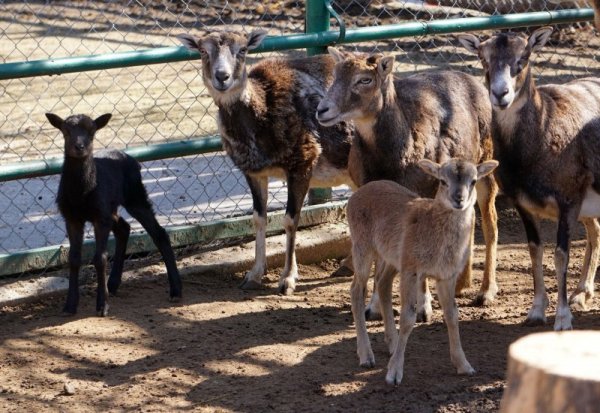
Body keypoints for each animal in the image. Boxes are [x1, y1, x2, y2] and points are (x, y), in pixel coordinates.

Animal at [47, 112, 180, 316]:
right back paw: (113, 283)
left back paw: (176, 290)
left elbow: (100, 258)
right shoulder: (71, 217)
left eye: (92, 132)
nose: (79, 147)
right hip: (112, 207)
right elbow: (74, 258)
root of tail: (131, 158)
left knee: (159, 233)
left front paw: (103, 306)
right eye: (65, 131)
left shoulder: (99, 216)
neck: (81, 194)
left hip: (135, 196)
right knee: (124, 228)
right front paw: (70, 305)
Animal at [178, 29, 356, 292]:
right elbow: (258, 218)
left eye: (243, 49)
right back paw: (346, 266)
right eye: (202, 50)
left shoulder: (303, 161)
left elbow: (291, 219)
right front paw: (253, 275)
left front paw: (288, 279)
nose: (222, 77)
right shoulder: (254, 172)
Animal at [346, 158, 496, 384]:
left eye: (474, 181)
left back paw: (392, 344)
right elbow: (408, 318)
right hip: (362, 246)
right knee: (356, 290)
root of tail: (354, 197)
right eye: (442, 181)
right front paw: (394, 374)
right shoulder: (411, 269)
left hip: (391, 257)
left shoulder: (446, 276)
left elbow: (452, 315)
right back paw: (366, 355)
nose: (459, 199)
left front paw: (464, 365)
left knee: (382, 283)